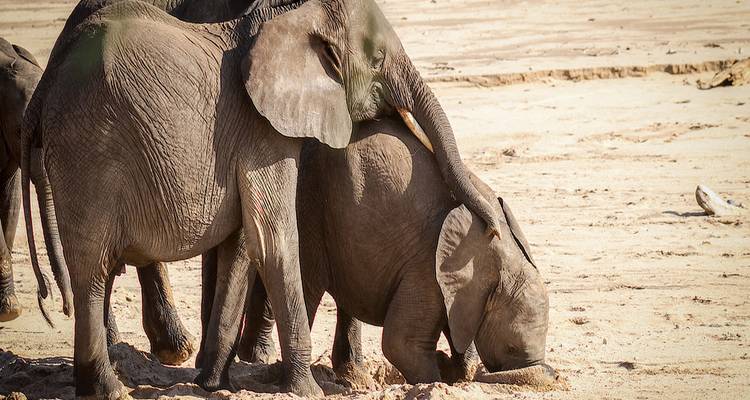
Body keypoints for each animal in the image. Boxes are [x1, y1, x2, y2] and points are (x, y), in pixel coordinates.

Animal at [21, 0, 502, 397]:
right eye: (379, 60)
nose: (495, 225)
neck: (291, 15)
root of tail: (44, 86)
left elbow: (240, 248)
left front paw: (214, 385)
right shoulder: (261, 131)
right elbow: (274, 240)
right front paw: (307, 391)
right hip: (90, 150)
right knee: (93, 269)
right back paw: (108, 390)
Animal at [235, 117, 552, 385]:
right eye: (512, 348)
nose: (546, 376)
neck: (503, 254)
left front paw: (455, 369)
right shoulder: (427, 271)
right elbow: (401, 344)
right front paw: (437, 376)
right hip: (311, 207)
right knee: (308, 281)